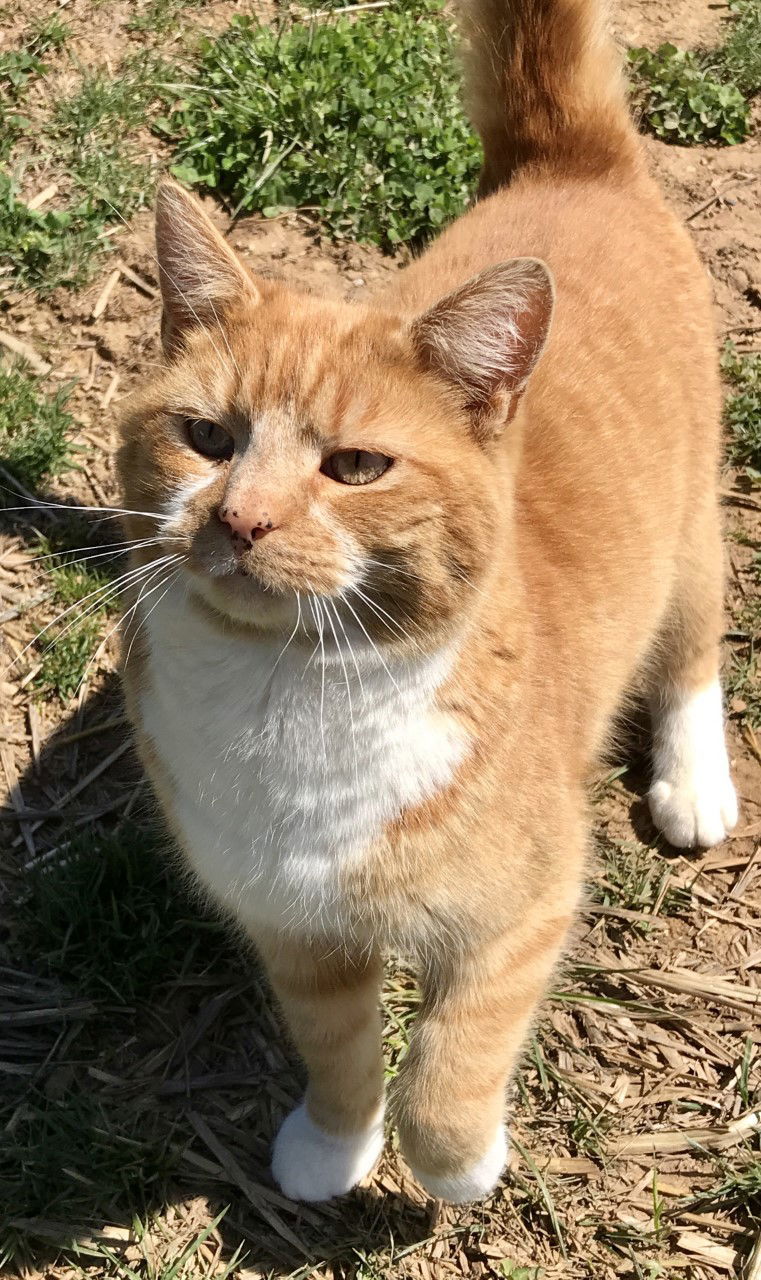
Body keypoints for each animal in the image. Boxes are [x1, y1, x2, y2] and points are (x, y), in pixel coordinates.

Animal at [118, 0, 736, 1198]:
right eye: (206, 438)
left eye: (355, 467)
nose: (240, 519)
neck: (290, 691)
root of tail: (566, 160)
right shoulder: (292, 932)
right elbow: (339, 1045)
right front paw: (331, 1143)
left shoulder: (523, 913)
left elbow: (455, 1057)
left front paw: (454, 1162)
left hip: (687, 536)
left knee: (694, 645)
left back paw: (694, 777)